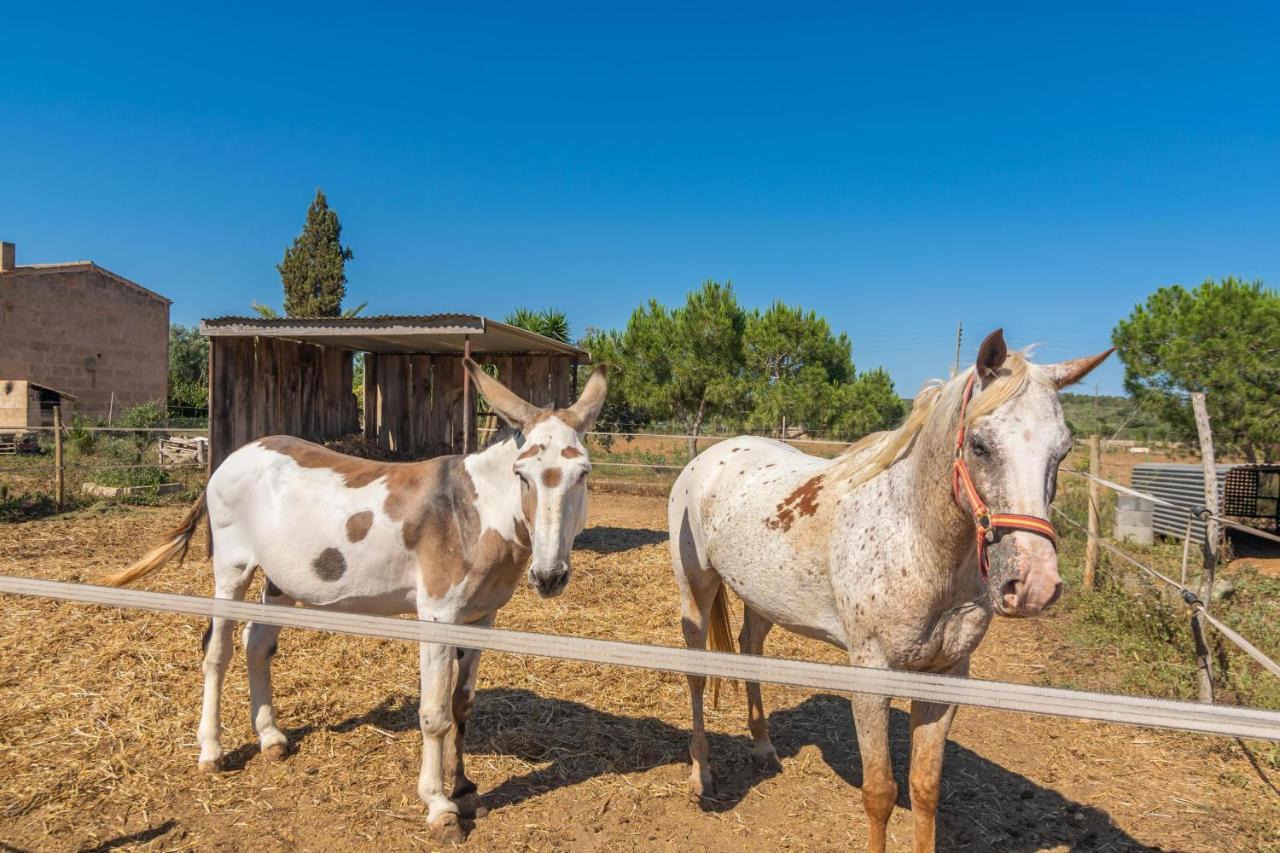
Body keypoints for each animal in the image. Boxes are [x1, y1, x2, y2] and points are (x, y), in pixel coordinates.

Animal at [102, 356, 606, 840]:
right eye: (523, 475)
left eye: (582, 474)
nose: (548, 577)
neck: (475, 513)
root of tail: (235, 455)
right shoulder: (438, 617)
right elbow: (436, 713)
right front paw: (439, 807)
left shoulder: (483, 619)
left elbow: (463, 705)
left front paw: (463, 788)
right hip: (231, 569)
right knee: (217, 651)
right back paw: (211, 749)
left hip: (282, 579)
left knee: (257, 644)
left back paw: (270, 737)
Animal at [670, 330, 1111, 850]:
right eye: (979, 445)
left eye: (1062, 451)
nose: (1034, 586)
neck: (916, 540)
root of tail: (708, 458)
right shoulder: (871, 676)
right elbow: (880, 793)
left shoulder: (945, 677)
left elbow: (924, 789)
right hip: (696, 589)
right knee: (697, 673)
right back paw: (701, 775)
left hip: (763, 598)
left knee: (749, 651)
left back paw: (763, 749)